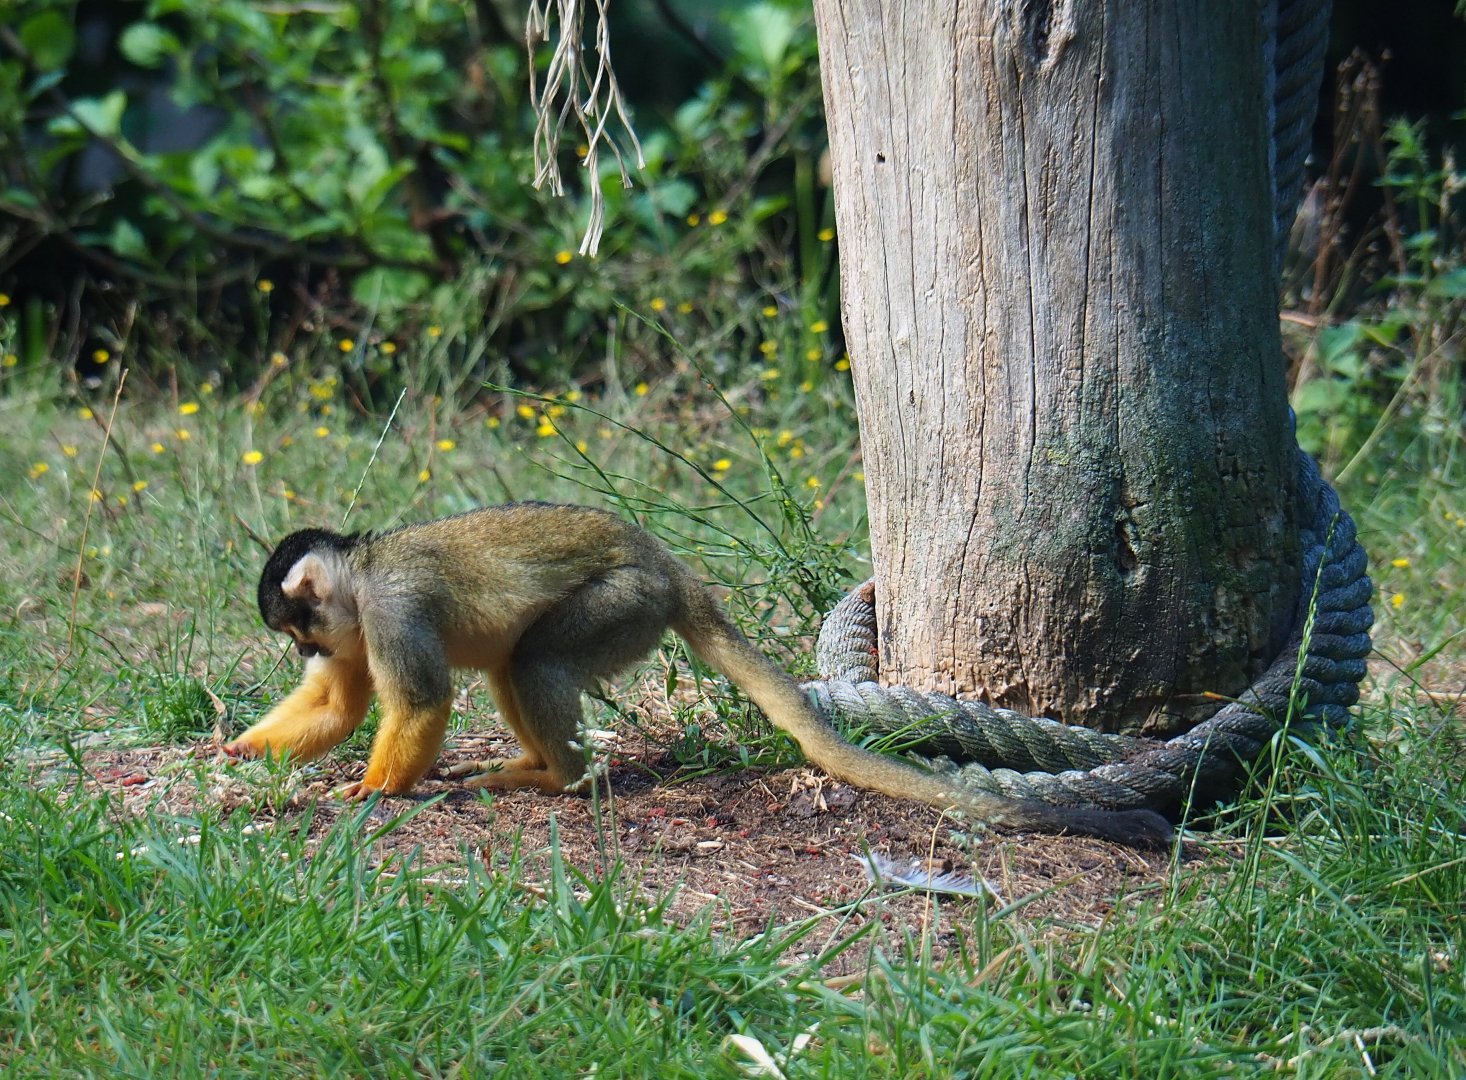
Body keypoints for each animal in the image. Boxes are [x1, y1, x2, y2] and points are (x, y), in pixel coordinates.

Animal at [225, 503, 1172, 847]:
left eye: (296, 626)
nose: (305, 650)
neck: (359, 578)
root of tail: (667, 564)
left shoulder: (388, 610)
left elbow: (419, 700)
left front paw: (373, 791)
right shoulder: (360, 628)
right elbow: (344, 701)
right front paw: (242, 751)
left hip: (625, 603)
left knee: (534, 658)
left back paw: (560, 781)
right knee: (516, 661)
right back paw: (540, 767)